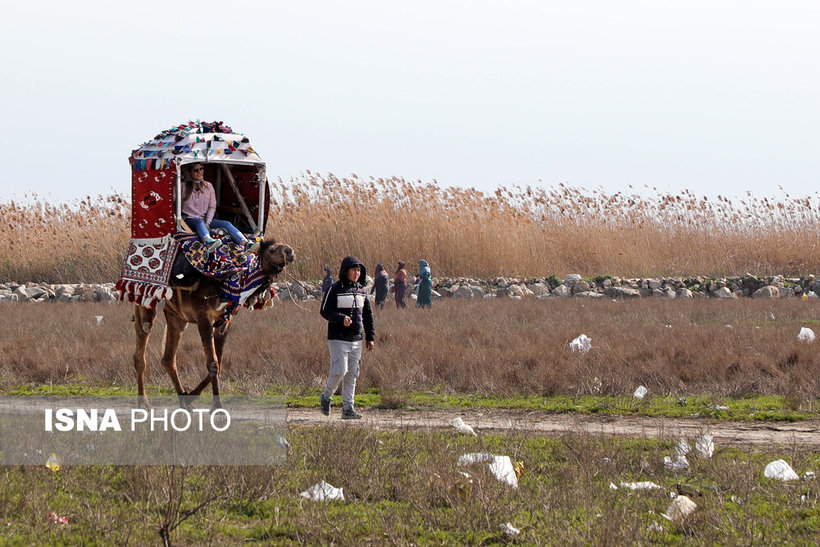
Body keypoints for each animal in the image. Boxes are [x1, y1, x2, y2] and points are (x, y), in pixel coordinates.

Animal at [130, 238, 294, 408]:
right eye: (272, 250)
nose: (290, 251)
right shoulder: (204, 317)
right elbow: (213, 363)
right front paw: (217, 407)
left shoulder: (225, 320)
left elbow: (218, 362)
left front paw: (191, 396)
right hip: (144, 303)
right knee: (141, 347)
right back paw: (144, 403)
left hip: (176, 317)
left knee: (168, 359)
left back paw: (184, 400)